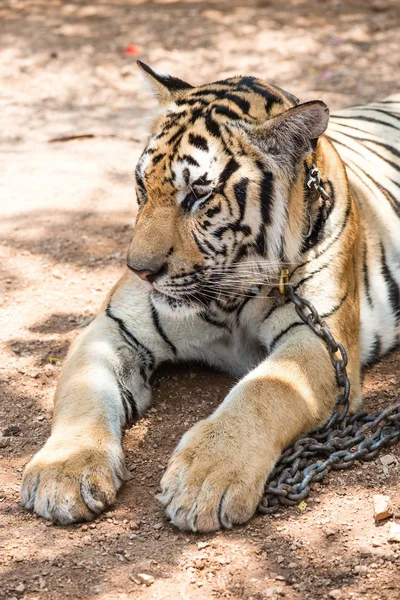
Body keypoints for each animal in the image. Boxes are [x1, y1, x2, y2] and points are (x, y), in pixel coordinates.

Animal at [19, 61, 400, 528]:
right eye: (141, 186)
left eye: (198, 195)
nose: (140, 270)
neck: (229, 296)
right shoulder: (112, 329)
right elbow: (83, 391)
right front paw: (63, 473)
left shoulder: (321, 339)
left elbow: (266, 391)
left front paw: (206, 479)